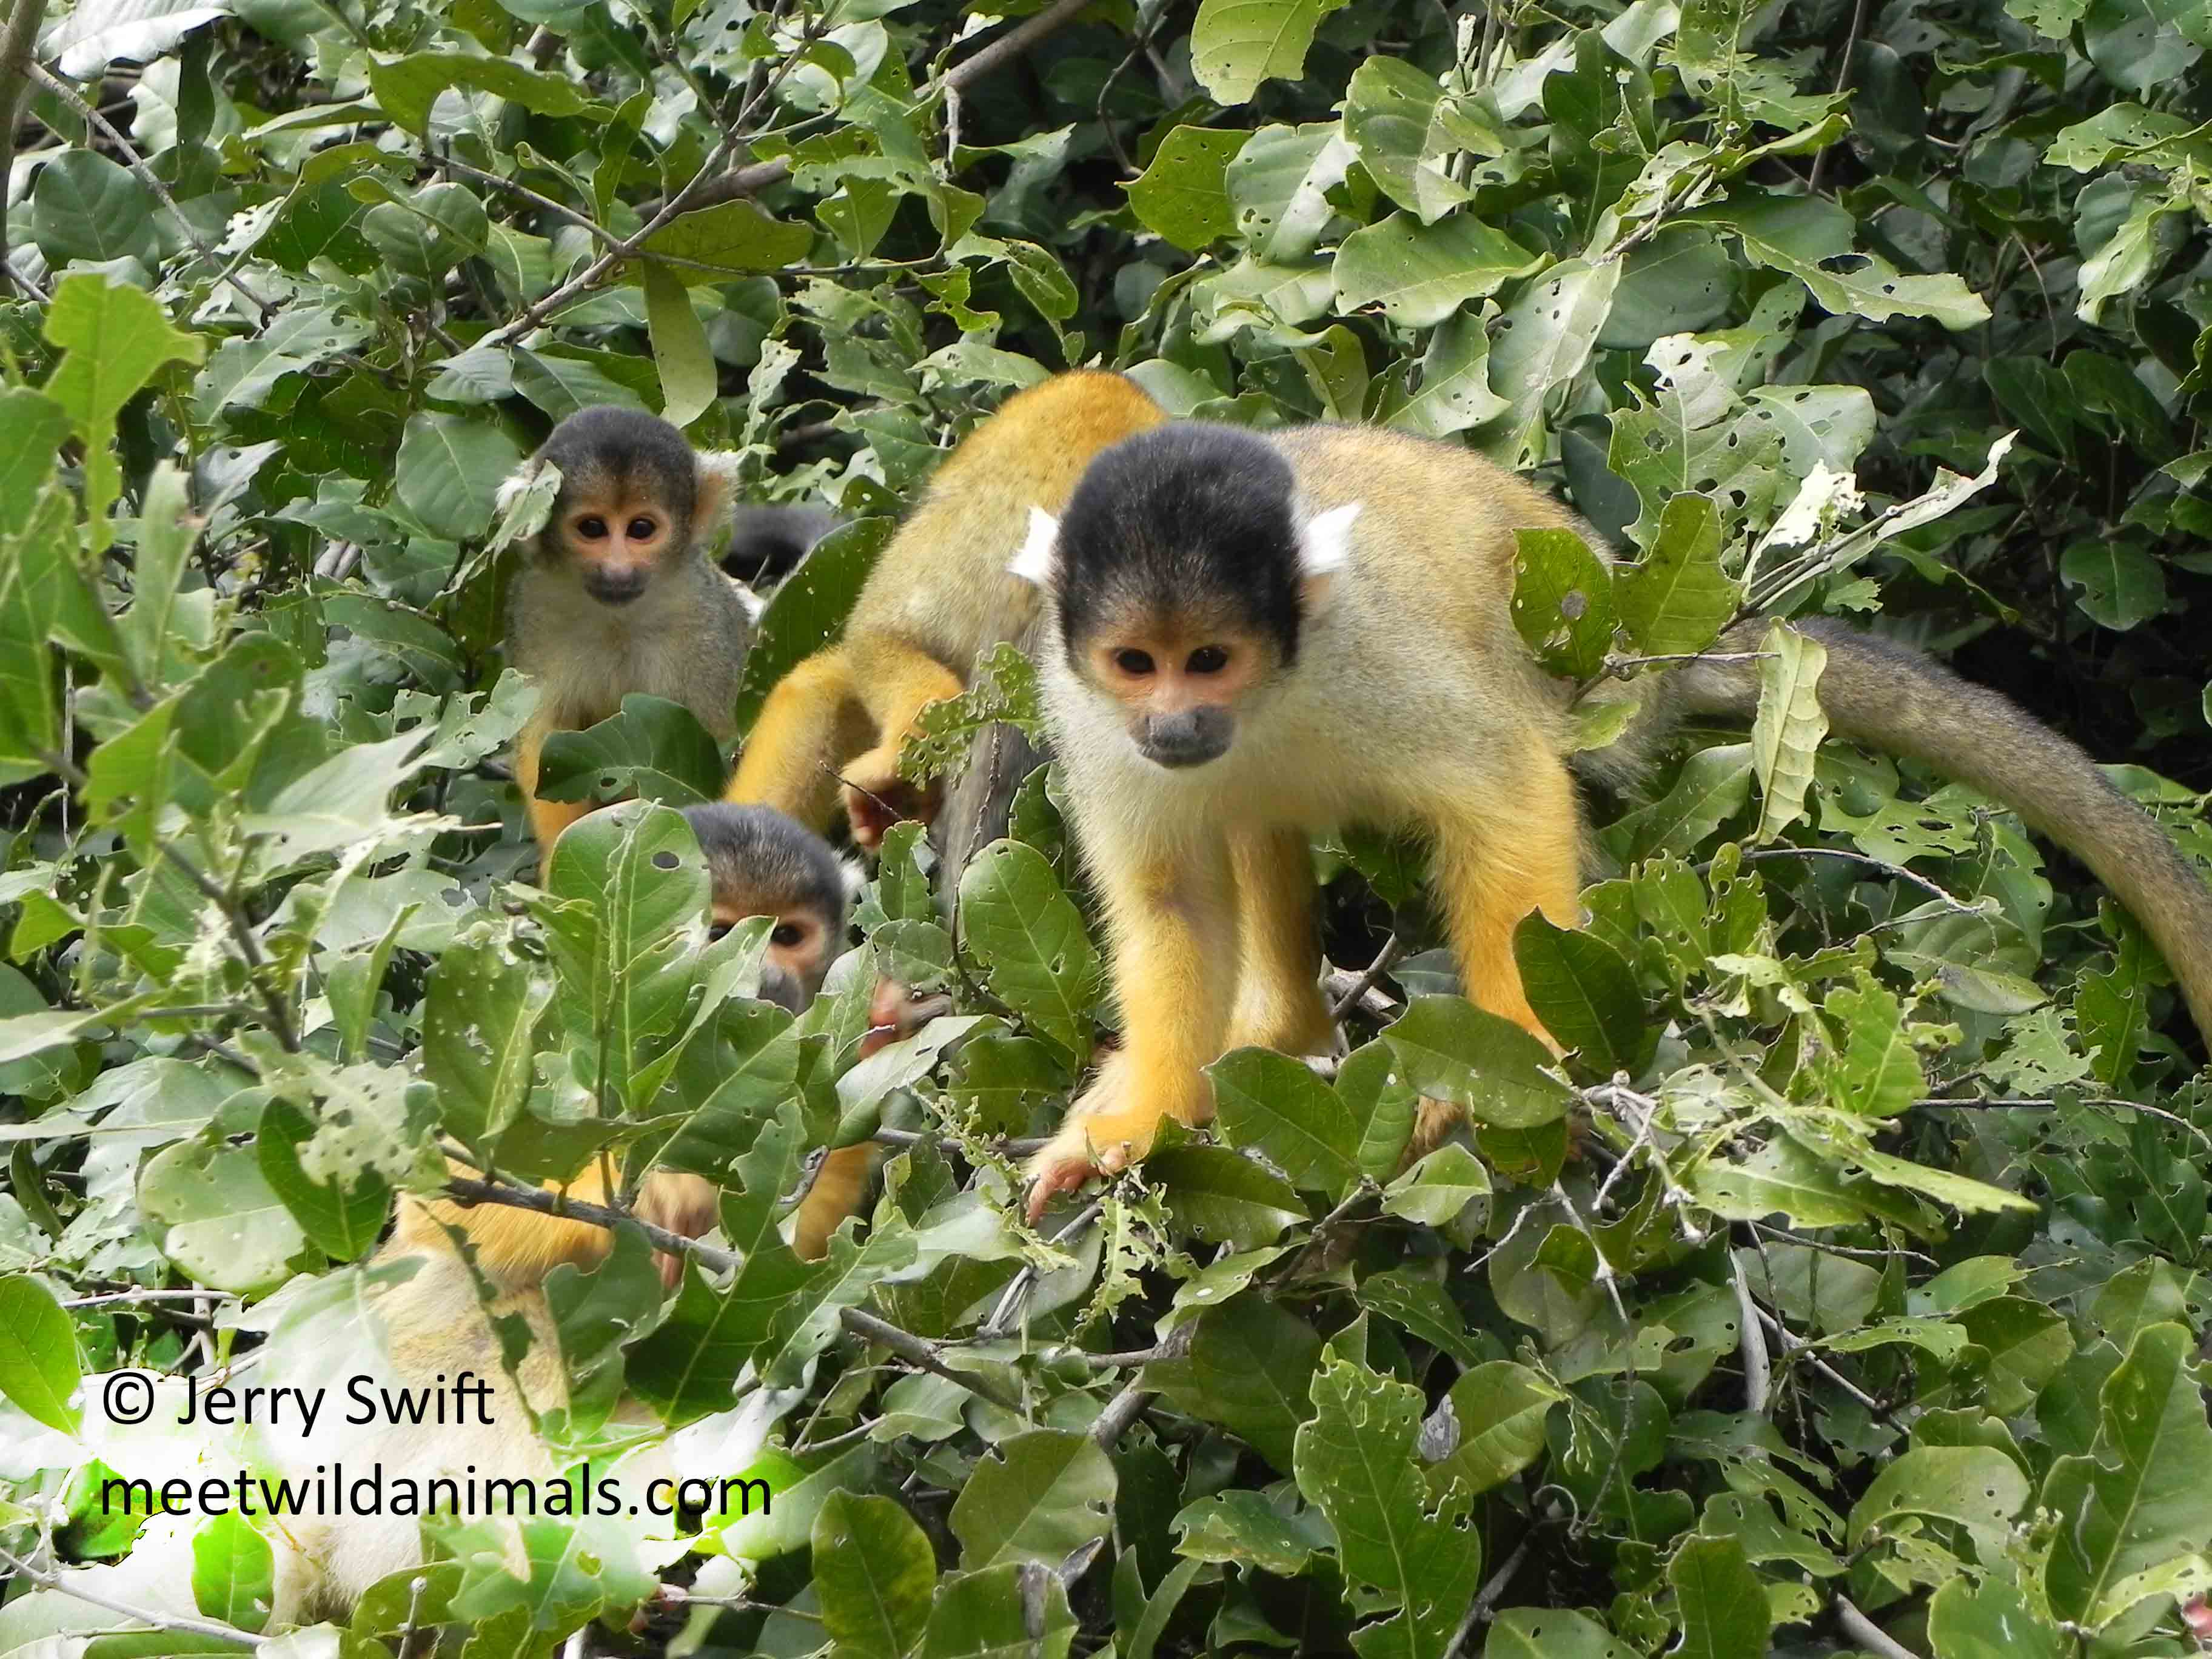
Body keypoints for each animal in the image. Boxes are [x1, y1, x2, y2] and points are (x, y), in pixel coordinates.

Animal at [1013, 415, 2212, 1221]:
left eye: (1209, 658)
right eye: (1137, 663)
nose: (1175, 722)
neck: (1263, 702)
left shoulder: (1371, 663)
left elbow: (1503, 792)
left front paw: (1515, 1059)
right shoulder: (1089, 717)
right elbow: (1174, 902)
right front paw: (1133, 1123)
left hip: (1594, 672)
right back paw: (1281, 1029)